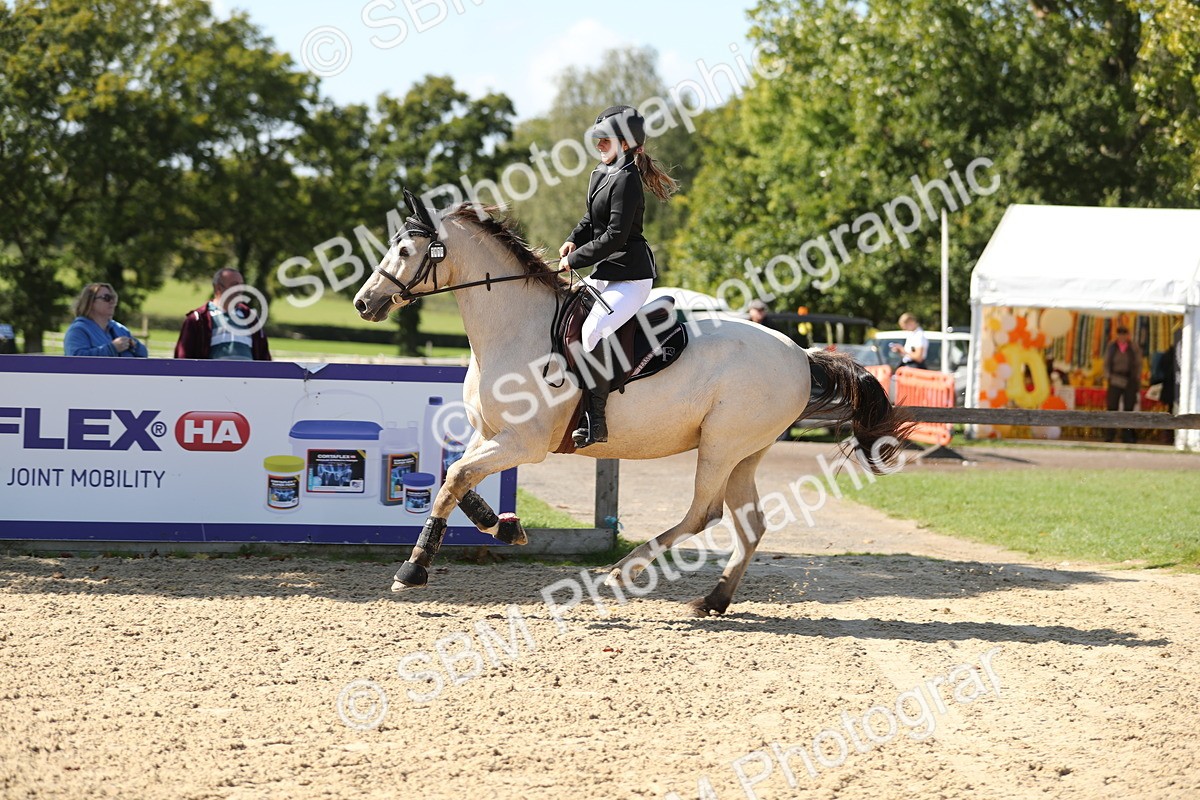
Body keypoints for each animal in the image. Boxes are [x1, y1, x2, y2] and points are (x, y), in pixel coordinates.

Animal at [353, 192, 911, 615]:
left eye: (405, 250)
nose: (363, 303)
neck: (514, 328)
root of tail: (801, 354)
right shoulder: (490, 433)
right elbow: (458, 480)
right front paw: (504, 527)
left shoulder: (524, 443)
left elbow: (454, 481)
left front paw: (413, 569)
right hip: (745, 453)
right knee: (749, 526)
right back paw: (713, 600)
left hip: (720, 446)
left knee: (702, 514)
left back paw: (623, 572)